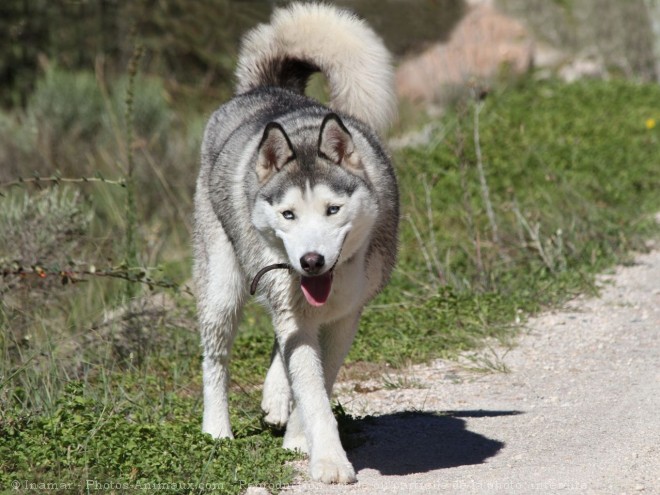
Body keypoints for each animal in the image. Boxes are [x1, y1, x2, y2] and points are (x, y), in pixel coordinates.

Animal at [191, 2, 398, 484]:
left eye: (332, 210)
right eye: (288, 215)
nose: (311, 260)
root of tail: (268, 88)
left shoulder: (344, 317)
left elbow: (318, 382)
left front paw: (301, 440)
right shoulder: (295, 309)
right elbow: (313, 389)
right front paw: (329, 461)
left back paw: (274, 399)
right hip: (223, 290)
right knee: (216, 360)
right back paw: (216, 432)